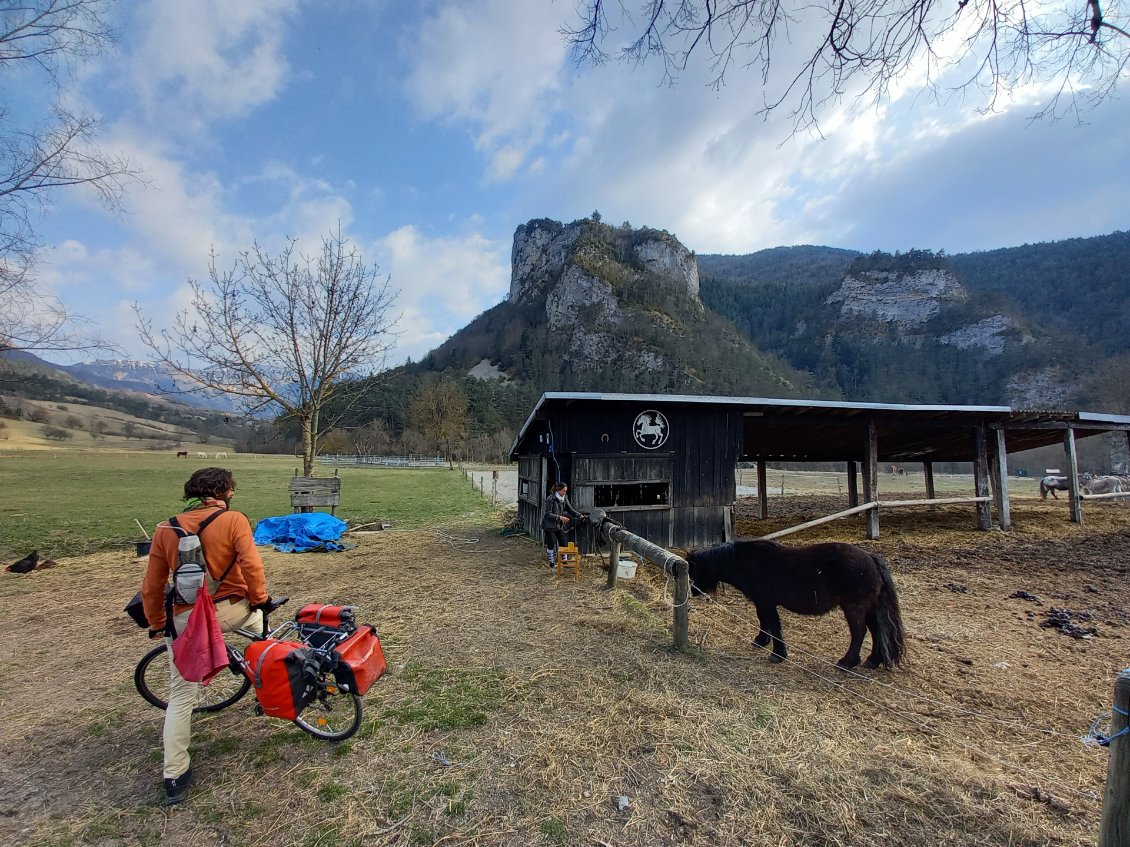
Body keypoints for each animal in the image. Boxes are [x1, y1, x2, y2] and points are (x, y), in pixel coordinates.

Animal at [682, 539, 904, 673]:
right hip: (870, 608)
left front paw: (778, 654)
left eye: (693, 571)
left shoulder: (766, 602)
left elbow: (773, 625)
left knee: (860, 632)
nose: (692, 592)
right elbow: (764, 622)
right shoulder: (761, 602)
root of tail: (872, 559)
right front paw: (761, 641)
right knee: (876, 631)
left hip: (854, 608)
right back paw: (872, 661)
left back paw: (847, 662)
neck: (746, 562)